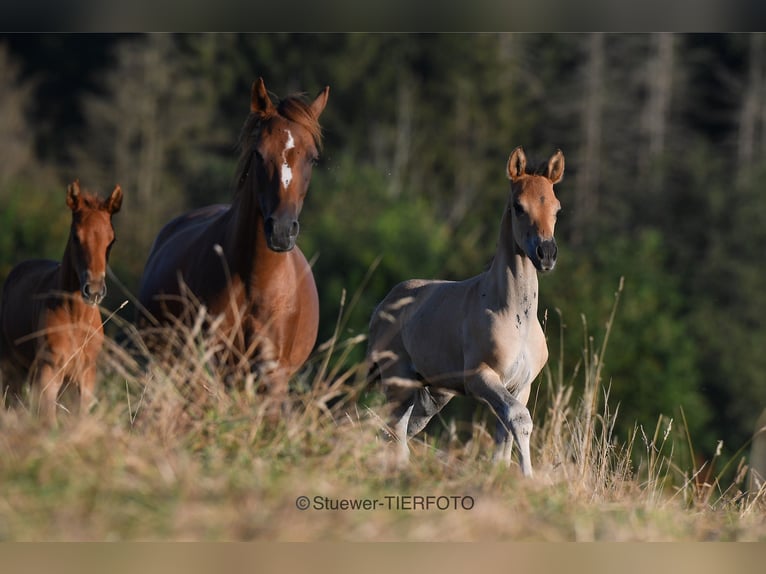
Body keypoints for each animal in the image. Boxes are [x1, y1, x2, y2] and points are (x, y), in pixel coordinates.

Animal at [0, 181, 123, 424]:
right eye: (76, 236)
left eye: (112, 240)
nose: (94, 290)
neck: (76, 318)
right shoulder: (49, 371)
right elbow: (49, 420)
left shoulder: (86, 376)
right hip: (10, 367)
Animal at [136, 76, 328, 400]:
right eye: (259, 153)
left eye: (312, 159)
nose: (281, 230)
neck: (255, 282)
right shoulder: (210, 365)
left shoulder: (271, 374)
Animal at [368, 147, 568, 476]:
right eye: (518, 206)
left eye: (557, 208)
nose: (546, 254)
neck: (514, 316)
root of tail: (384, 304)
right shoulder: (480, 377)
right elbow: (519, 418)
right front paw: (529, 477)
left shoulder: (520, 385)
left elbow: (507, 432)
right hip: (399, 381)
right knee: (394, 431)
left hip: (433, 394)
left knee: (402, 427)